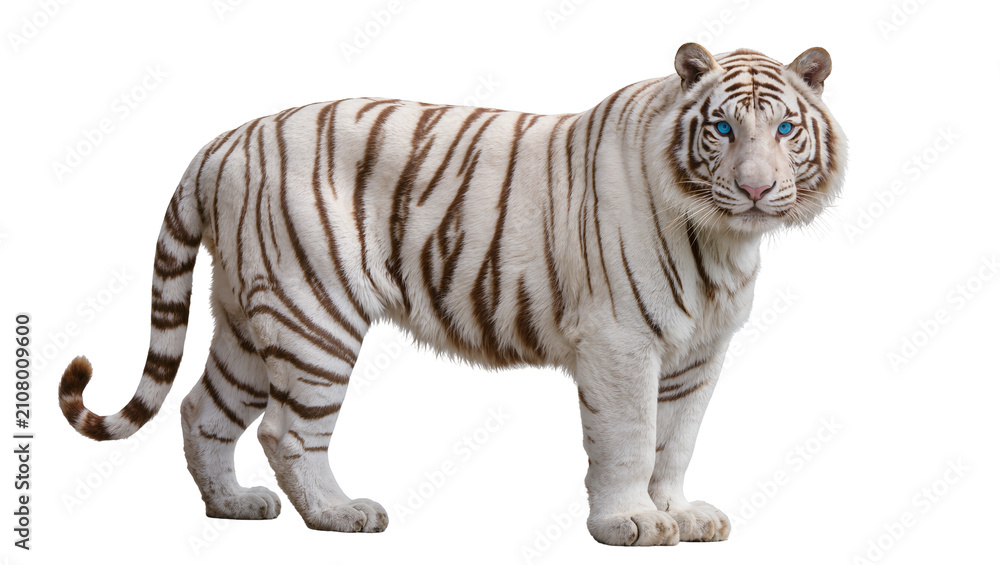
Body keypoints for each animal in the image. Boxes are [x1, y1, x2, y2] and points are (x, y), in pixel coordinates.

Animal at [58, 43, 846, 546]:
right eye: (722, 128)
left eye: (785, 128)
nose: (755, 188)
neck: (723, 239)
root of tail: (221, 142)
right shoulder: (620, 342)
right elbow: (628, 439)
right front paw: (632, 524)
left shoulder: (700, 353)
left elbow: (675, 441)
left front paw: (682, 515)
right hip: (313, 313)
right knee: (287, 430)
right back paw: (340, 515)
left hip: (249, 317)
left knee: (202, 408)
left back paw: (232, 505)